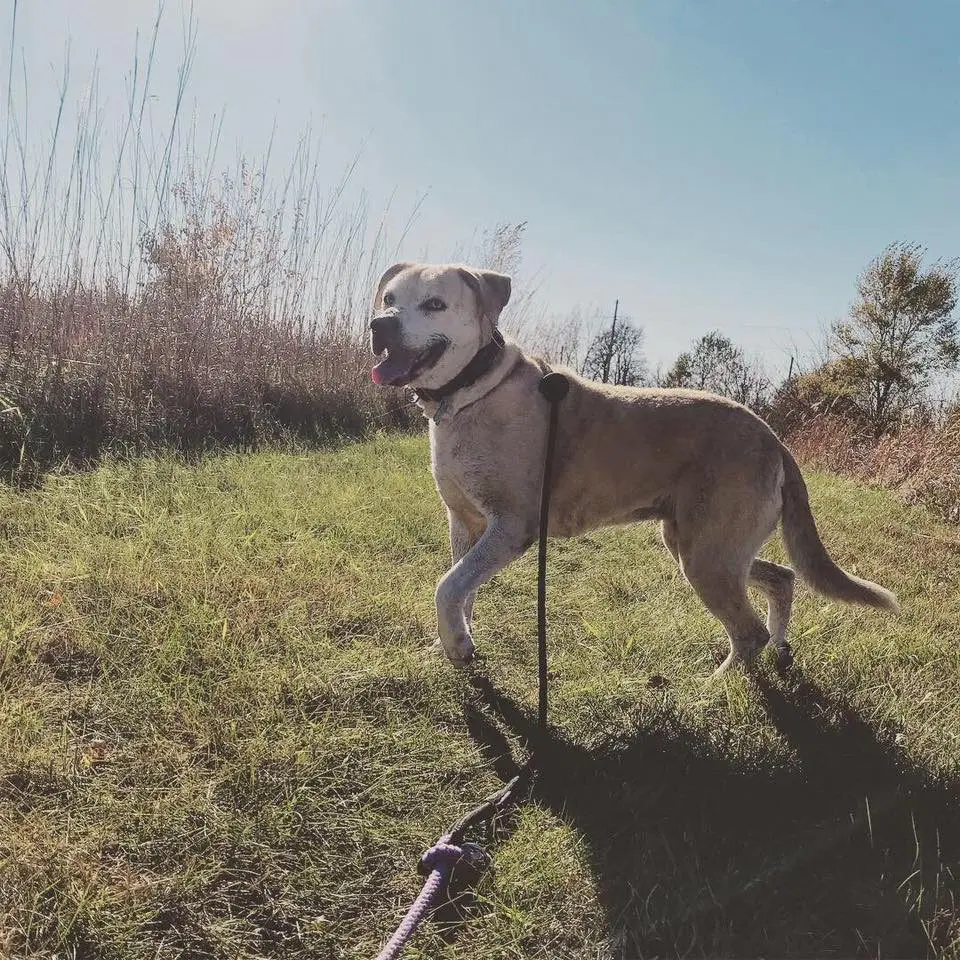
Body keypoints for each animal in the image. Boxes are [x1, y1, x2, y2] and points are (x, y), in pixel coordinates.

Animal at [368, 258, 900, 672]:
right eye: (389, 298)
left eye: (435, 303)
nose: (380, 325)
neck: (471, 393)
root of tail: (773, 437)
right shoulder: (465, 522)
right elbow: (461, 588)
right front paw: (456, 642)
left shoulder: (512, 525)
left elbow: (447, 586)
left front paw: (458, 645)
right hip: (706, 545)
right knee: (783, 579)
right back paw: (782, 649)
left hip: (707, 554)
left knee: (749, 633)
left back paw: (708, 692)